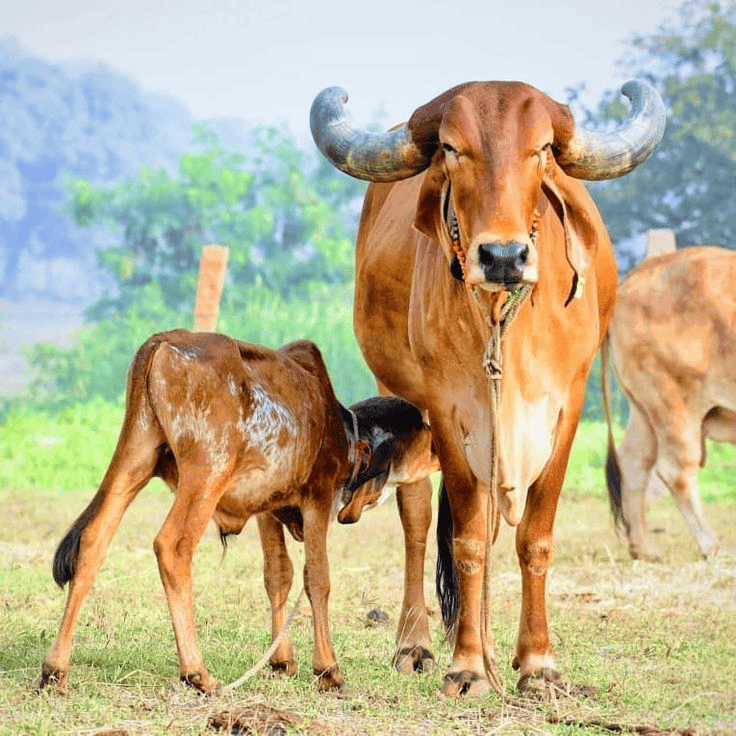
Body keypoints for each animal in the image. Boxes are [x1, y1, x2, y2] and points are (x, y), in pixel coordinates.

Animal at [39, 329, 438, 694]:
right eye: (425, 435)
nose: (439, 452)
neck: (343, 431)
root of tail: (163, 341)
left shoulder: (267, 509)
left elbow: (278, 575)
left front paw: (282, 660)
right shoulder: (318, 498)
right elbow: (317, 579)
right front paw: (328, 670)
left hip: (136, 458)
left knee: (92, 541)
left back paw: (55, 669)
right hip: (206, 473)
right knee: (172, 546)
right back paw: (197, 673)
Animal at [310, 79, 665, 697]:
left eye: (542, 149)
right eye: (452, 148)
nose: (502, 257)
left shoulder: (566, 410)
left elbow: (532, 538)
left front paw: (538, 662)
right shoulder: (450, 412)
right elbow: (467, 538)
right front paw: (468, 665)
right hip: (403, 400)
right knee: (417, 517)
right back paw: (417, 643)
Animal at [602, 246, 736, 561]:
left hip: (643, 407)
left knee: (634, 463)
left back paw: (644, 548)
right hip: (673, 400)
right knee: (677, 470)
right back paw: (712, 546)